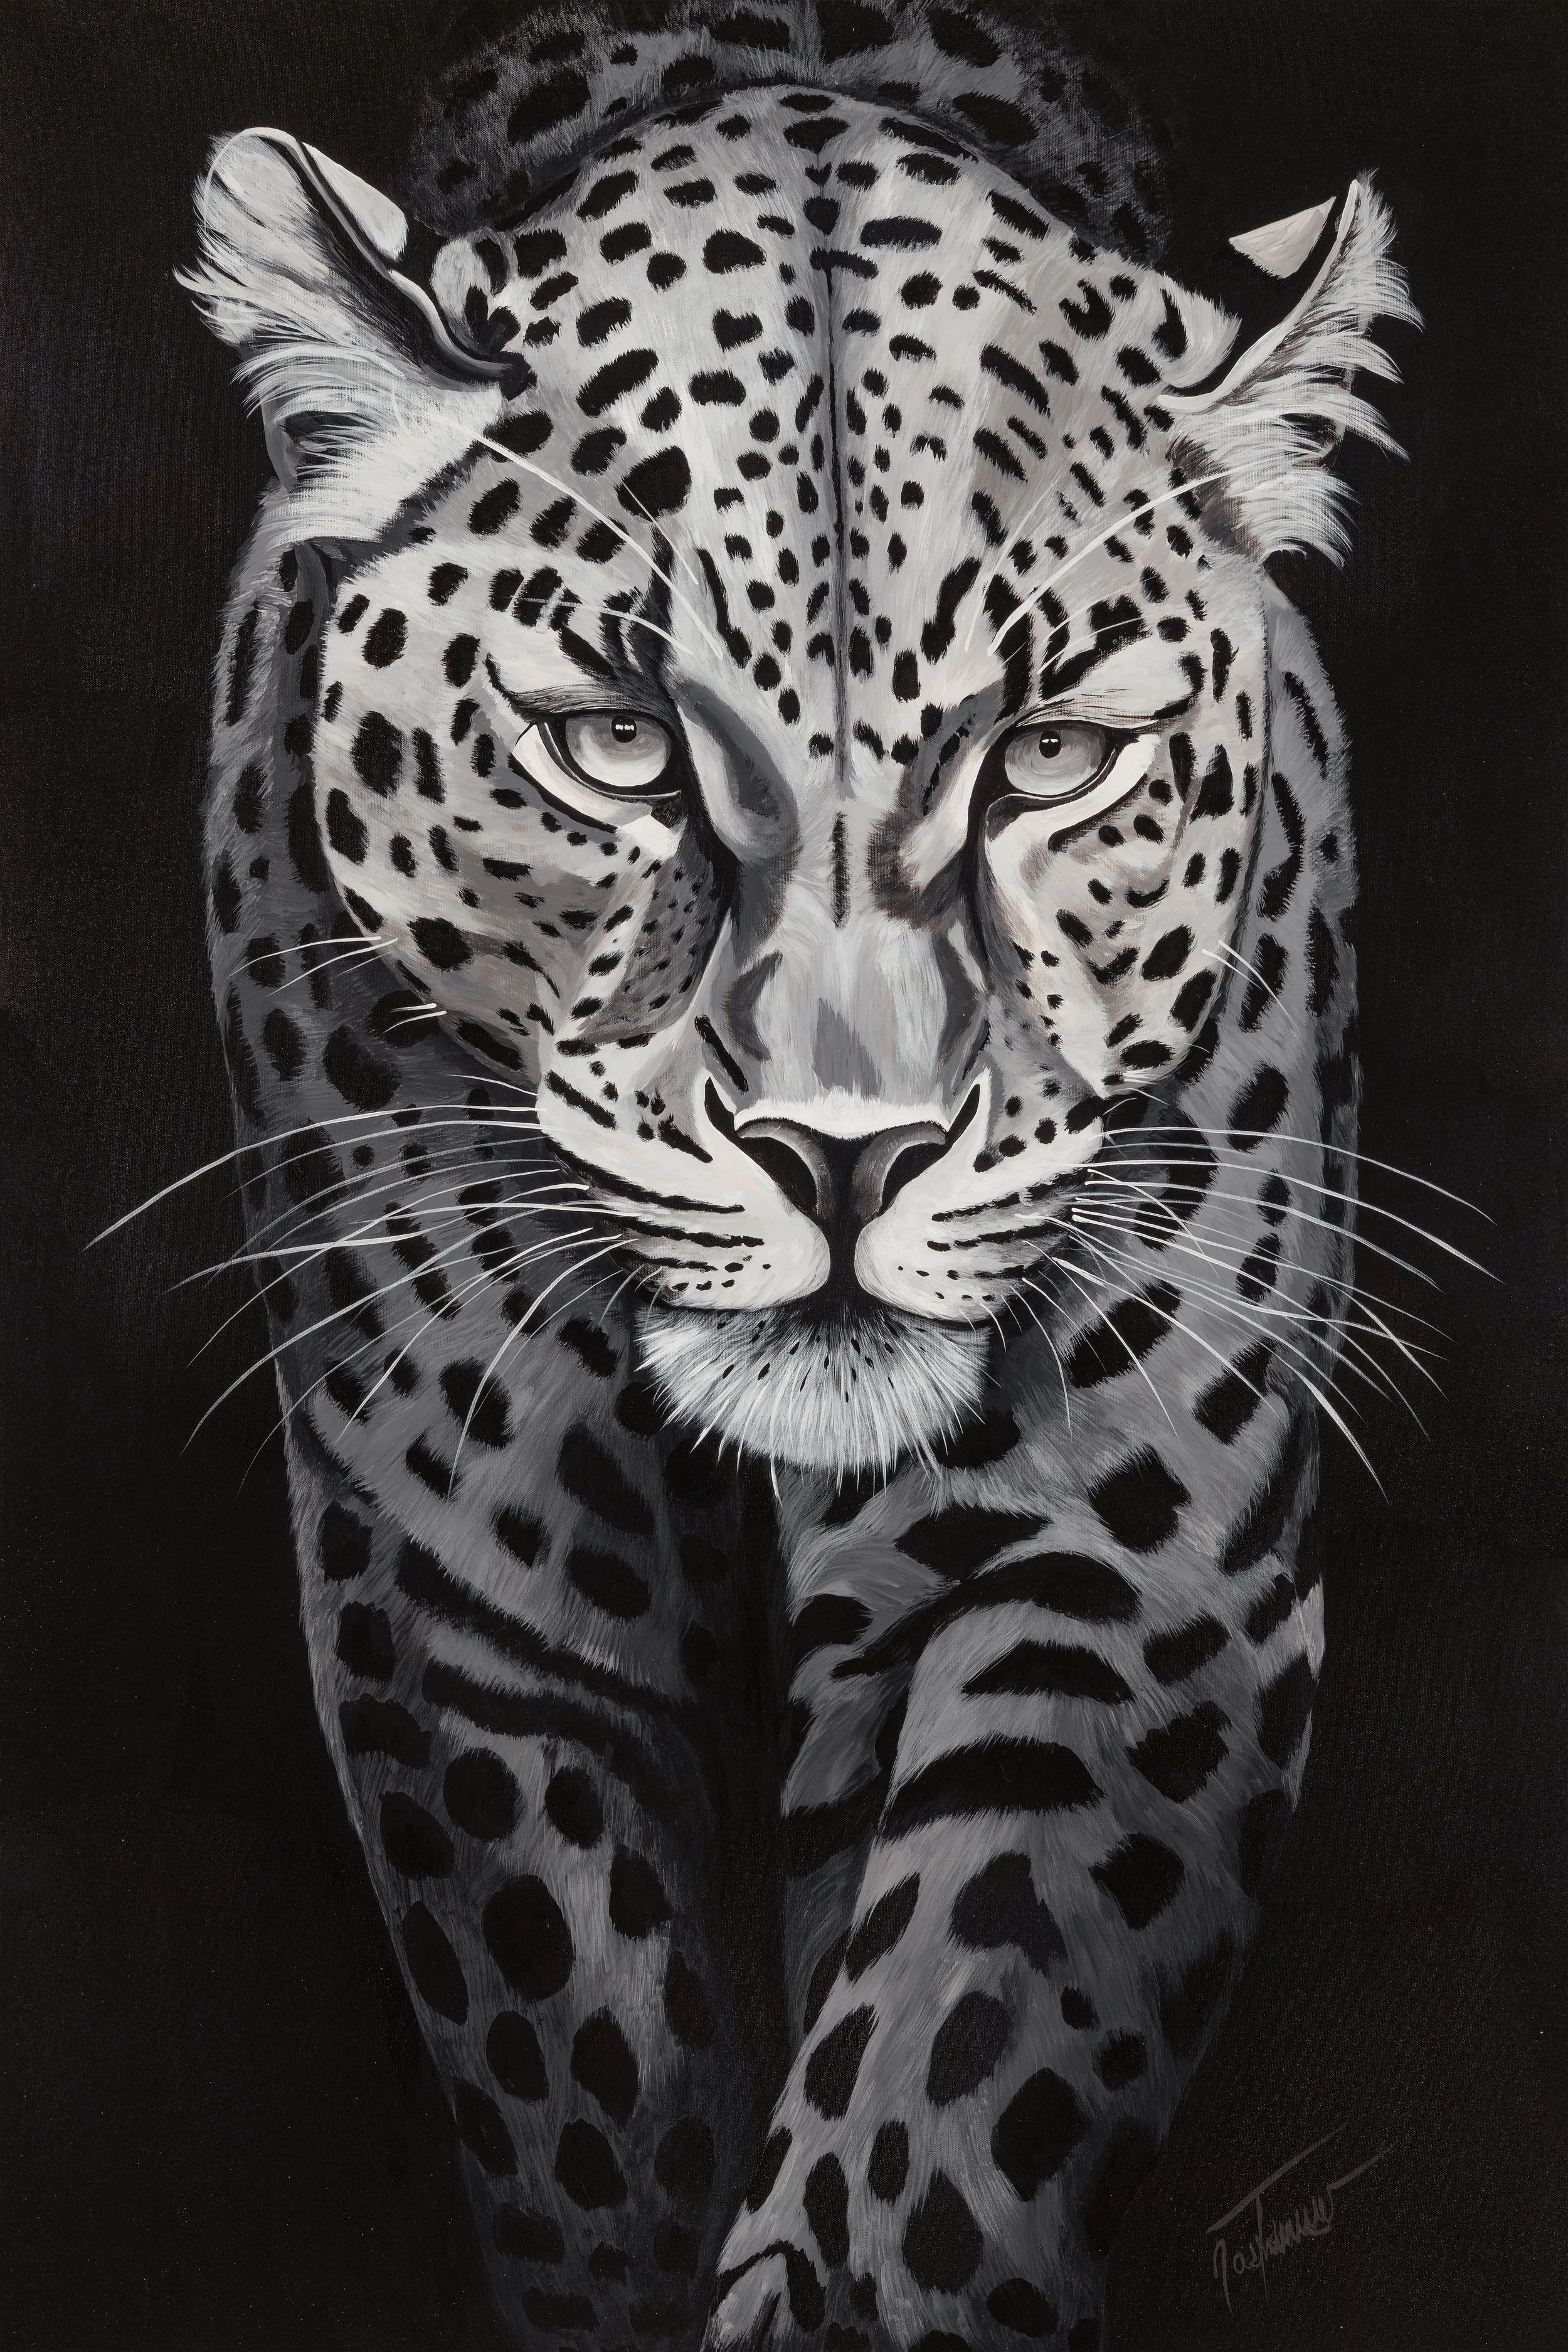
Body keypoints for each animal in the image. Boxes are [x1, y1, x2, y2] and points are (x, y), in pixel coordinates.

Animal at [180, 3, 1416, 2346]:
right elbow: (582, 2065)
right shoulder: (467, 1589)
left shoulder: (1126, 1574)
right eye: (618, 743)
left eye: (1048, 758)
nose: (842, 1153)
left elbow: (933, 2110)